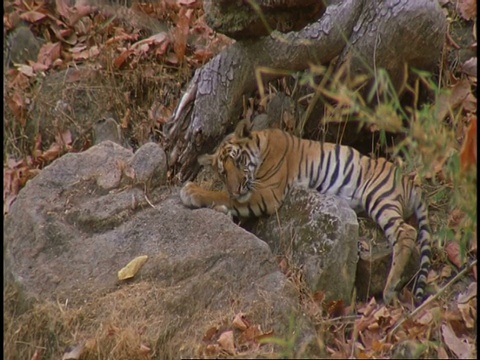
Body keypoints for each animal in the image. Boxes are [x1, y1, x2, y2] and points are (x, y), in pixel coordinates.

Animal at [181, 120, 436, 304]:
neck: (262, 145)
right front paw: (221, 208)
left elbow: (222, 196)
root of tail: (410, 181)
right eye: (223, 172)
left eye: (239, 161)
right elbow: (229, 201)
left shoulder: (267, 192)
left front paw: (191, 191)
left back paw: (390, 287)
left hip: (378, 196)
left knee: (407, 232)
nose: (236, 188)